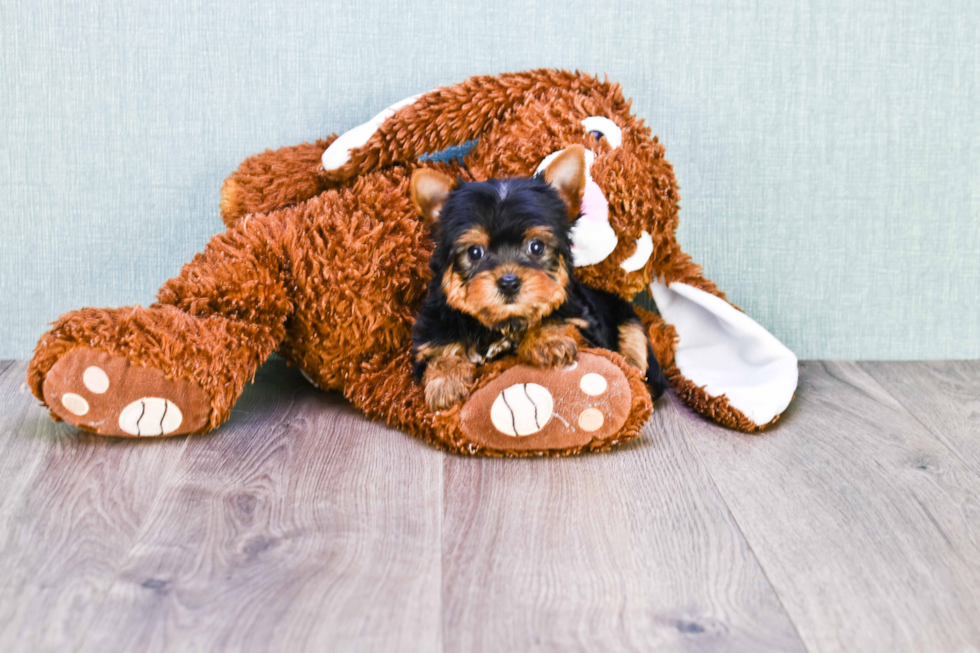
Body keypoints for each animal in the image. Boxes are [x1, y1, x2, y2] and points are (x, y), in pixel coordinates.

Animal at [410, 145, 668, 410]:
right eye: (474, 252)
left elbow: (561, 324)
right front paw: (446, 381)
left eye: (536, 247)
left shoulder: (589, 331)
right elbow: (438, 354)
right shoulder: (431, 335)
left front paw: (548, 340)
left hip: (630, 324)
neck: (503, 325)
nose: (509, 283)